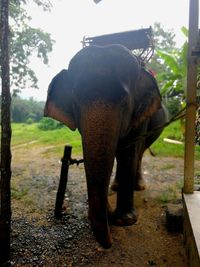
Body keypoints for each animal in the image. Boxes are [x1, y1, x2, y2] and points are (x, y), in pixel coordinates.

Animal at [44, 44, 167, 249]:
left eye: (125, 103)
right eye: (75, 102)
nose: (110, 242)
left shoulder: (139, 118)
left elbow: (129, 152)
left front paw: (125, 221)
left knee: (139, 153)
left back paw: (139, 187)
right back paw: (115, 187)